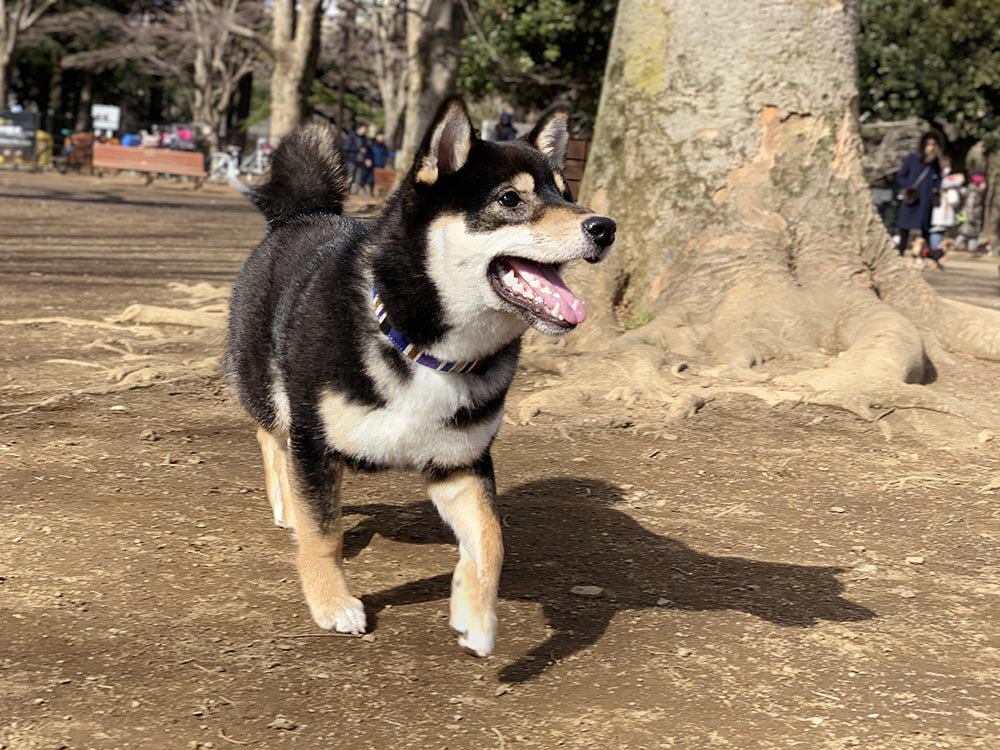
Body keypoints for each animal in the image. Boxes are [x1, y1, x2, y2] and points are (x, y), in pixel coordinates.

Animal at [229, 98, 616, 656]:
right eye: (510, 199)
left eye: (566, 194)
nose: (605, 227)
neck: (424, 348)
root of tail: (304, 213)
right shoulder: (314, 443)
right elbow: (324, 534)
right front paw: (331, 602)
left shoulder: (460, 463)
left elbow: (492, 539)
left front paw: (476, 615)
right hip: (267, 388)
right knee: (270, 435)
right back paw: (285, 503)